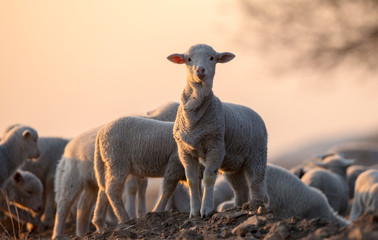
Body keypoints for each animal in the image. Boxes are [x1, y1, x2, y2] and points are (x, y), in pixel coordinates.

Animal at [52, 102, 180, 239]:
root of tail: (68, 148)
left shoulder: (141, 168)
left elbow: (142, 188)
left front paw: (142, 213)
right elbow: (133, 189)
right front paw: (133, 214)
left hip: (92, 182)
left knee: (83, 205)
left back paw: (83, 232)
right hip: (71, 177)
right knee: (64, 204)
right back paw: (58, 234)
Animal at [168, 43, 268, 218]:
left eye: (212, 58)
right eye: (188, 59)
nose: (200, 70)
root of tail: (253, 112)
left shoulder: (215, 145)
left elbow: (208, 178)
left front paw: (206, 210)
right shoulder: (184, 150)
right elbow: (192, 181)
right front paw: (194, 212)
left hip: (258, 154)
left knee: (257, 183)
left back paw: (256, 207)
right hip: (234, 164)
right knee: (240, 189)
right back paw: (239, 207)